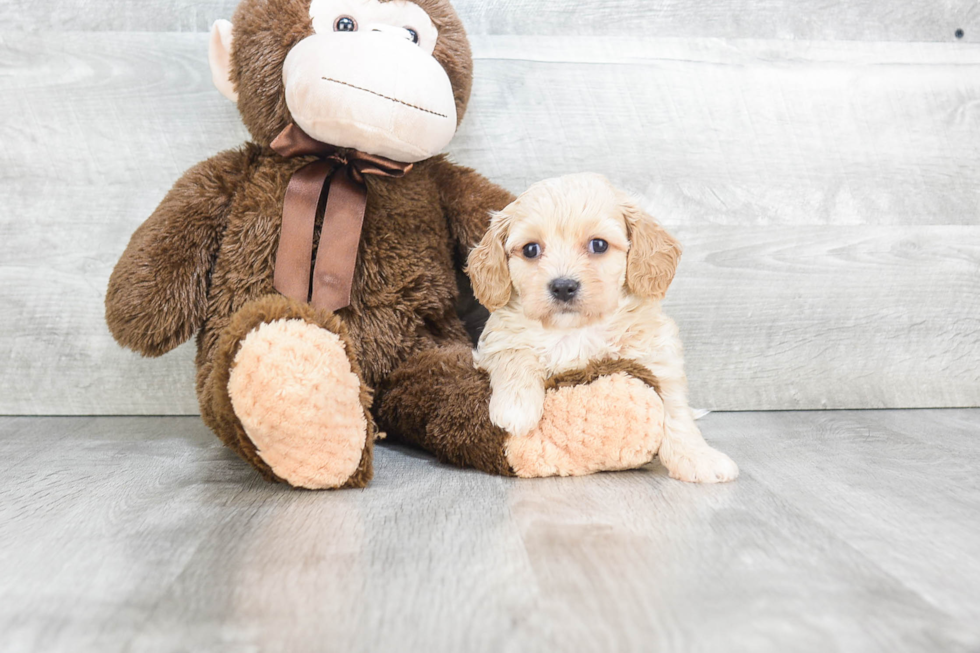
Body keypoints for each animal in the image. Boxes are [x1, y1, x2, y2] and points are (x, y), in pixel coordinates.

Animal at [468, 173, 736, 484]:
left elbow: (675, 410)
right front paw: (516, 408)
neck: (575, 330)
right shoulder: (495, 341)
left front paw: (698, 457)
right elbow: (515, 354)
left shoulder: (657, 355)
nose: (563, 286)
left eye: (599, 245)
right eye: (531, 249)